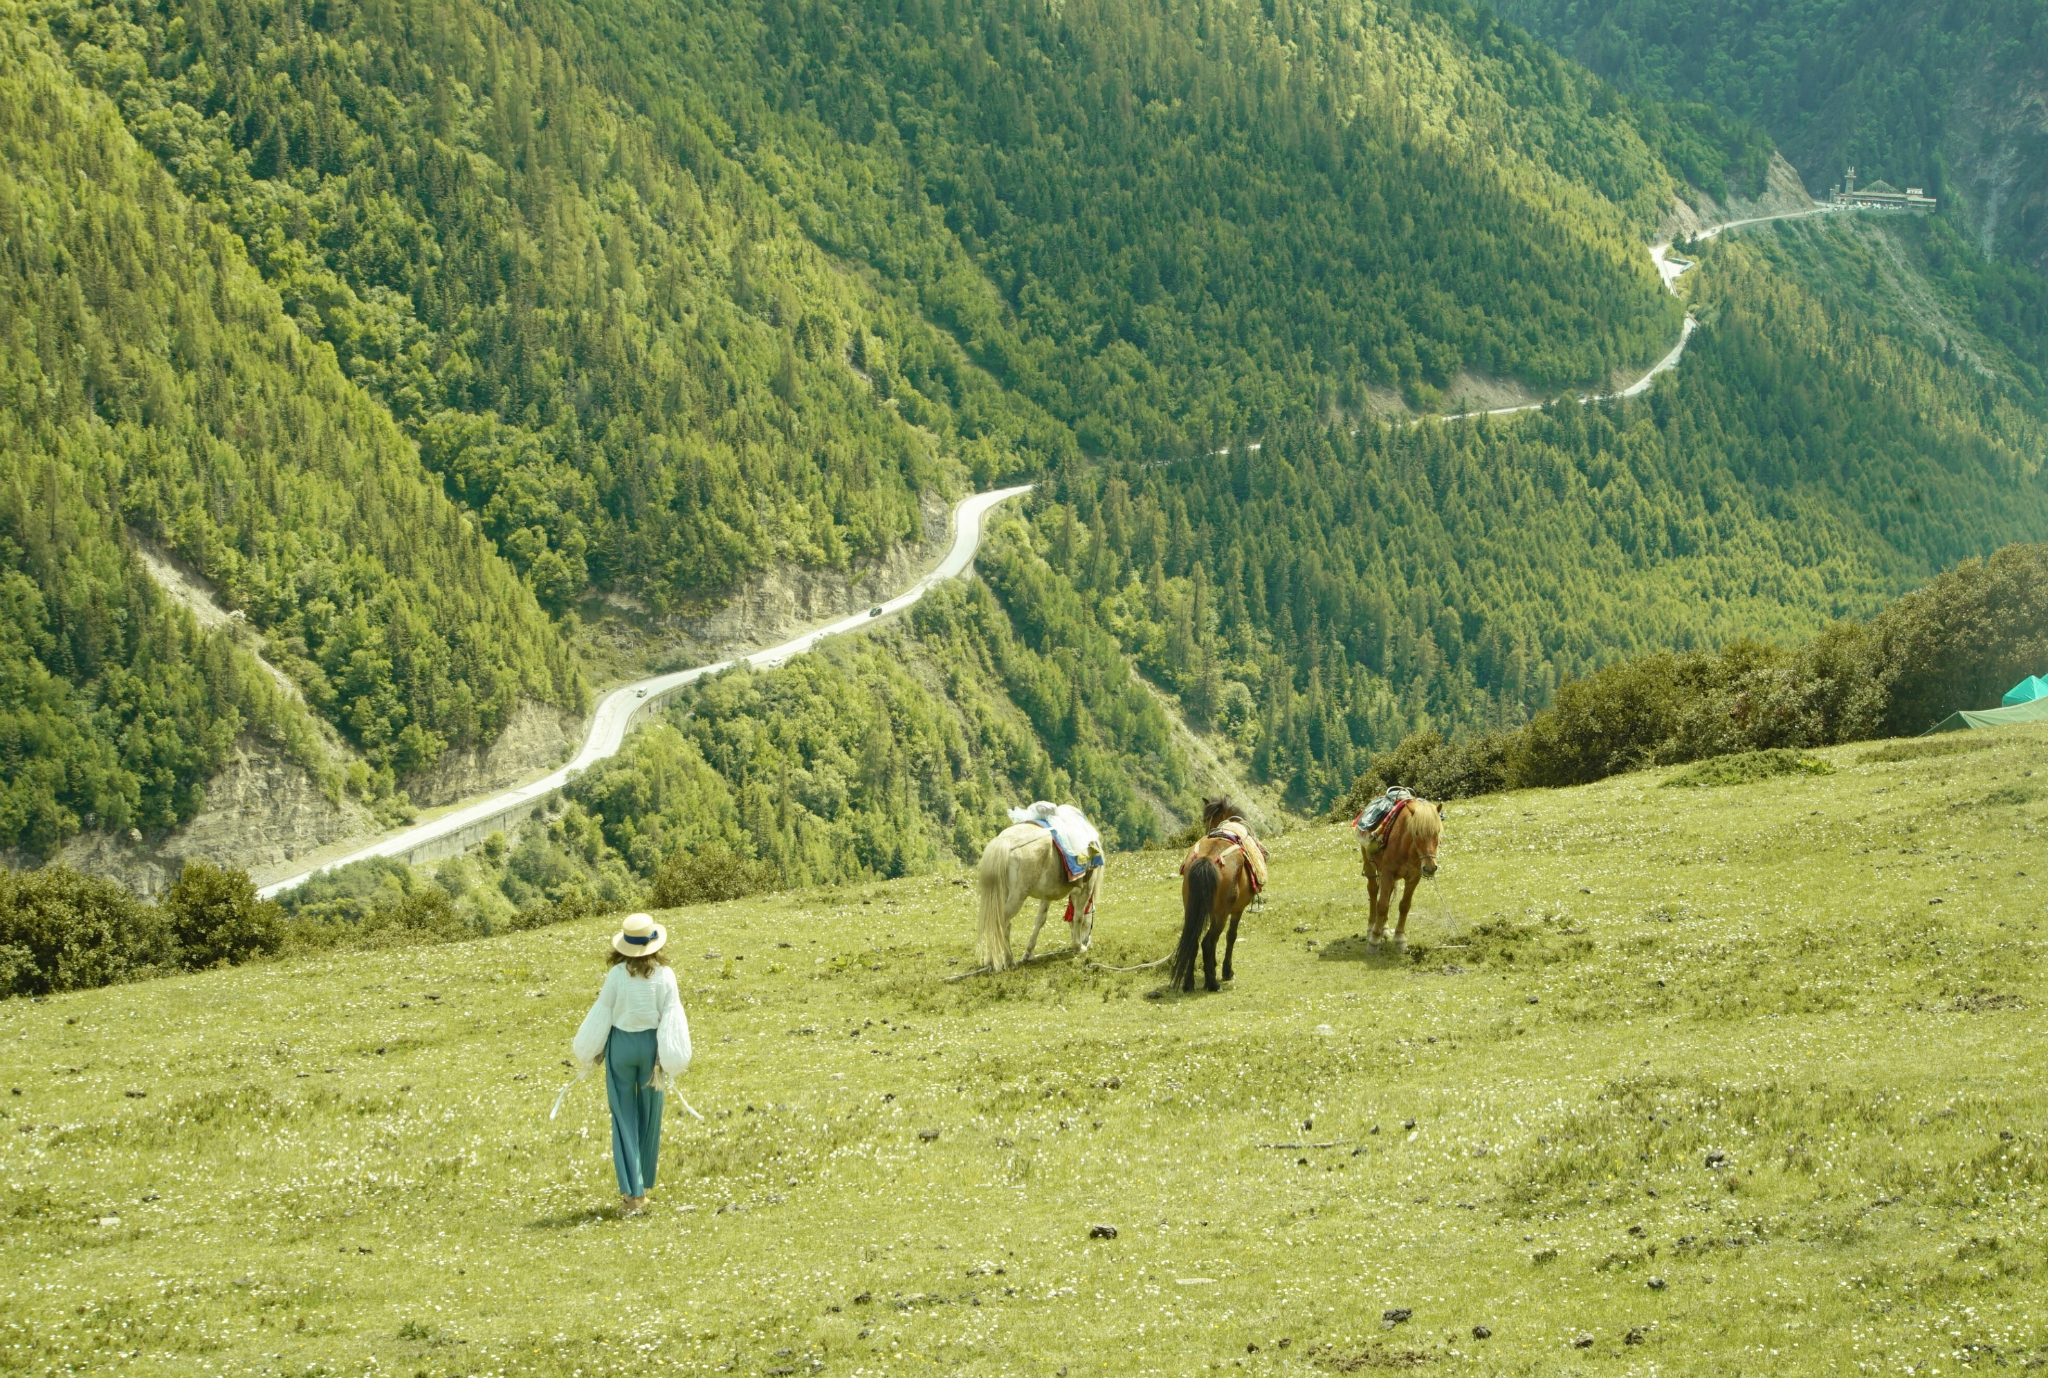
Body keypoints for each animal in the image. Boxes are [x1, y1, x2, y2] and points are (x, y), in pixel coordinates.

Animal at [974, 823, 1105, 974]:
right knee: (1002, 924)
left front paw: (1029, 952)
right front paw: (1078, 947)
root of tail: (1006, 842)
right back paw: (1006, 961)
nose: (1086, 941)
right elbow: (1078, 917)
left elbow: (1040, 920)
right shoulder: (1085, 890)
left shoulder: (1047, 895)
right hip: (1017, 897)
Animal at [1171, 794, 1261, 991]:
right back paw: (1212, 983)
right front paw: (1227, 971)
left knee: (1194, 940)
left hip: (1192, 908)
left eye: (1205, 820)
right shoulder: (1237, 910)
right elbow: (1231, 936)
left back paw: (1189, 983)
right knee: (1208, 941)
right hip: (1221, 913)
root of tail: (1207, 859)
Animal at [1359, 794, 1441, 945]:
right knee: (1373, 891)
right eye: (1416, 832)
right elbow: (1382, 905)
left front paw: (1400, 937)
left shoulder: (1413, 877)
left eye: (1437, 832)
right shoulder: (1387, 873)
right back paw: (1371, 927)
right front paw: (1374, 938)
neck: (1406, 848)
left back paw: (1384, 928)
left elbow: (1404, 905)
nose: (1430, 868)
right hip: (1369, 865)